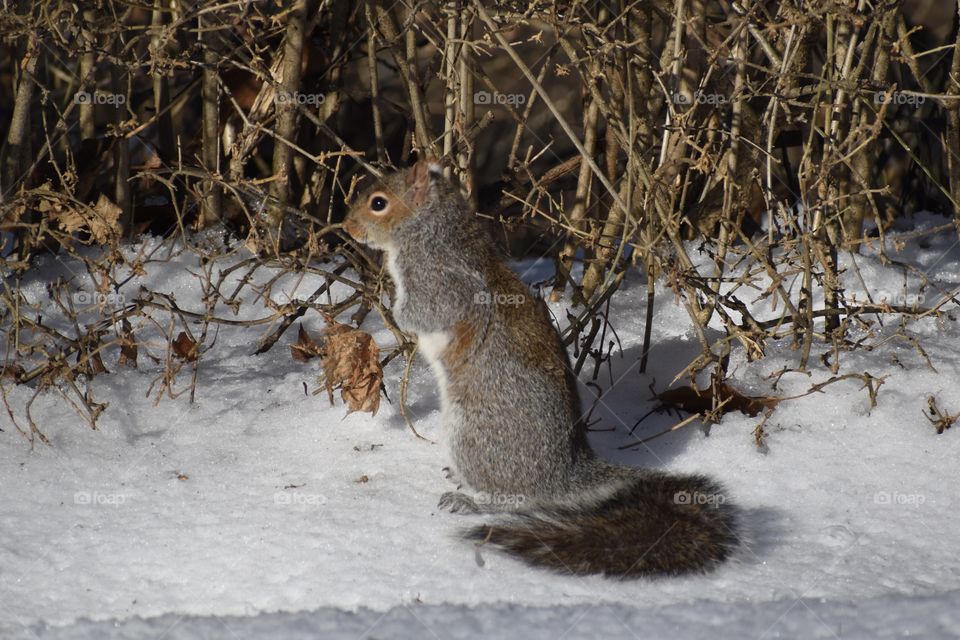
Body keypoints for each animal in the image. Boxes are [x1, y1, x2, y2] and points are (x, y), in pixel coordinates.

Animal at [344, 160, 738, 577]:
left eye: (378, 203)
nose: (347, 227)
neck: (430, 233)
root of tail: (564, 474)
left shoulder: (439, 284)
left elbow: (422, 313)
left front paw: (393, 312)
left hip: (474, 435)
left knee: (518, 498)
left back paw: (472, 502)